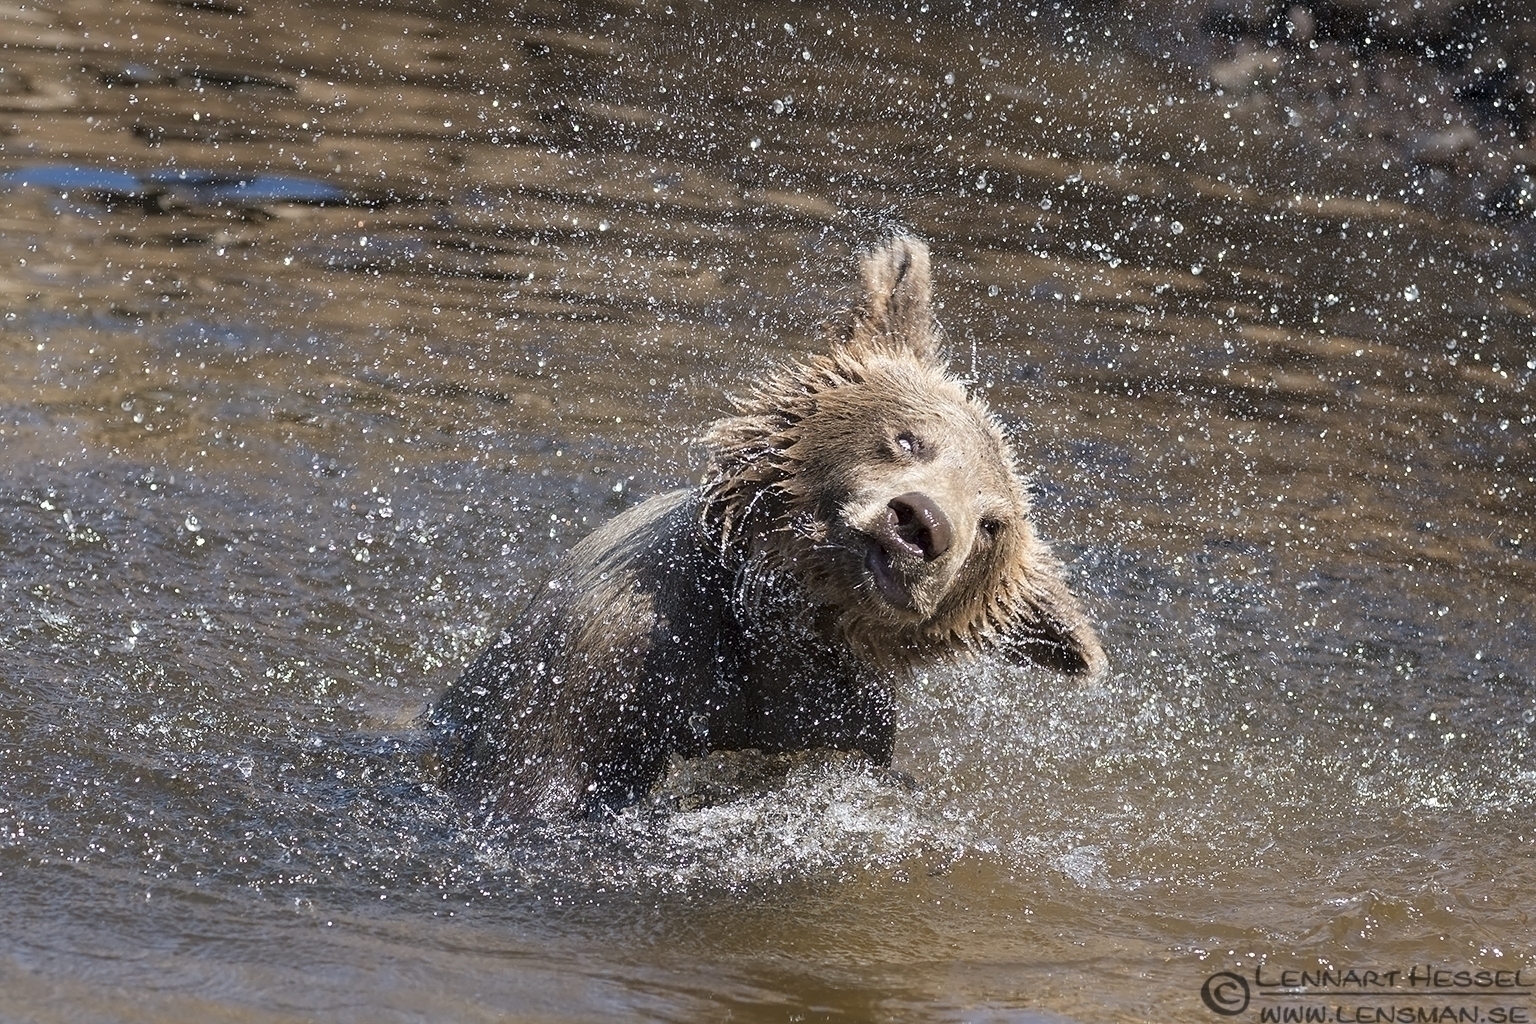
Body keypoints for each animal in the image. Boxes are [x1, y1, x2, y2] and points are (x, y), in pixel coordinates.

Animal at [430, 233, 1105, 820]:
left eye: (991, 524)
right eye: (909, 438)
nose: (922, 522)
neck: (775, 618)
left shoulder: (840, 719)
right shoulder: (606, 663)